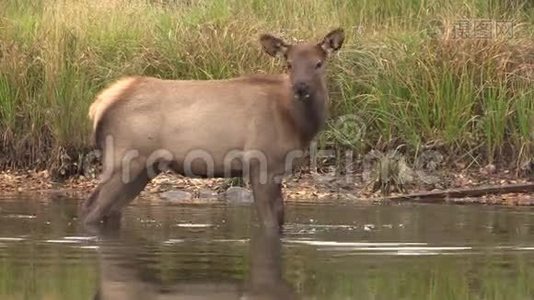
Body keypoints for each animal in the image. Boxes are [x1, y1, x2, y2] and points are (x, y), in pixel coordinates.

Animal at [81, 28, 346, 230]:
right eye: (289, 64)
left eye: (318, 63)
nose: (301, 87)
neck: (297, 123)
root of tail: (99, 104)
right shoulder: (261, 161)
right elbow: (271, 221)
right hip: (125, 158)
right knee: (92, 207)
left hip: (145, 167)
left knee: (111, 210)